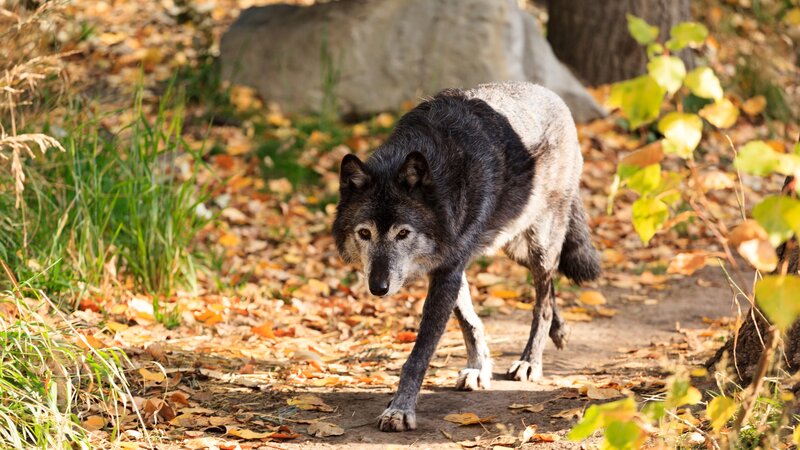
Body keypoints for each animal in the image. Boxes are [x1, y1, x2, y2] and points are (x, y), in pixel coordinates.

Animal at [332, 81, 601, 432]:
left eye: (403, 234)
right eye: (364, 234)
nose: (378, 287)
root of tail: (550, 94)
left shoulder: (448, 269)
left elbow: (420, 353)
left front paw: (400, 409)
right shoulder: (450, 265)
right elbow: (469, 320)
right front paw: (478, 368)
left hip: (539, 246)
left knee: (541, 302)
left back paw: (530, 361)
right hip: (514, 246)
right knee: (551, 288)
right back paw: (560, 330)